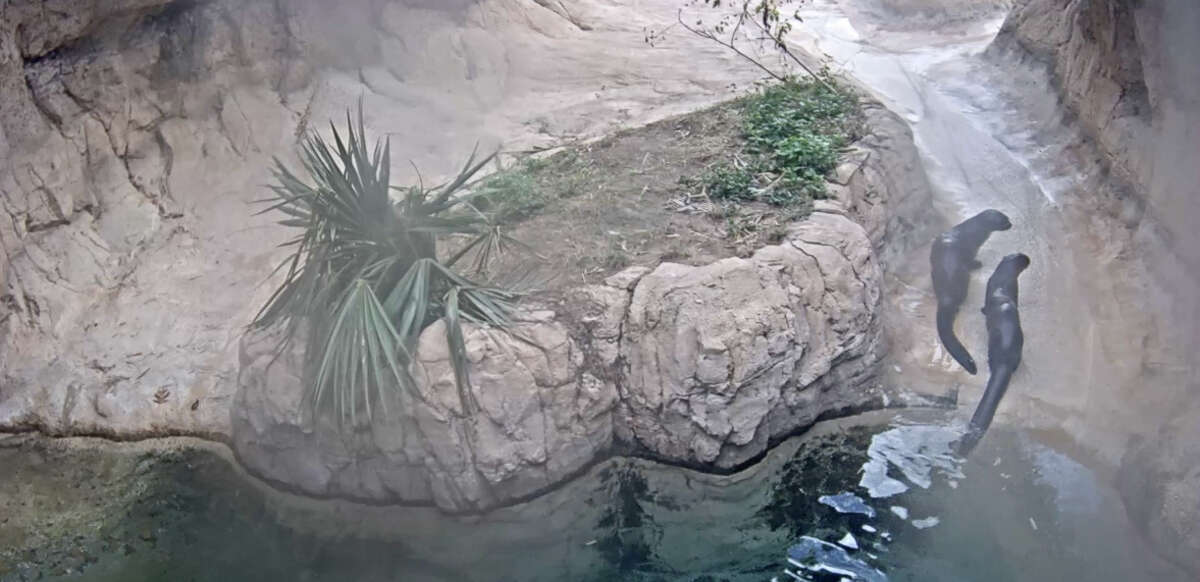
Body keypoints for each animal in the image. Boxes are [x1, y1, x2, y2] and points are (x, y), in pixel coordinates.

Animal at [930, 209, 1012, 374]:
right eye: (1005, 220)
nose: (1011, 223)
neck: (973, 232)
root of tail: (946, 296)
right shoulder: (971, 250)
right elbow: (971, 260)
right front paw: (978, 263)